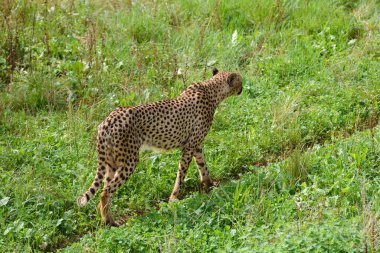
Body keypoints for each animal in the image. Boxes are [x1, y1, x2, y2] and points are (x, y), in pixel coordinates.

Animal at [77, 68, 243, 226]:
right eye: (240, 80)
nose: (243, 87)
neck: (211, 90)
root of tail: (107, 121)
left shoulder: (196, 145)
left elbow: (203, 166)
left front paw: (209, 185)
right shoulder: (190, 146)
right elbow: (181, 174)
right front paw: (174, 198)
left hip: (111, 162)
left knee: (105, 188)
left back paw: (105, 218)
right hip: (129, 161)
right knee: (105, 192)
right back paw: (110, 222)